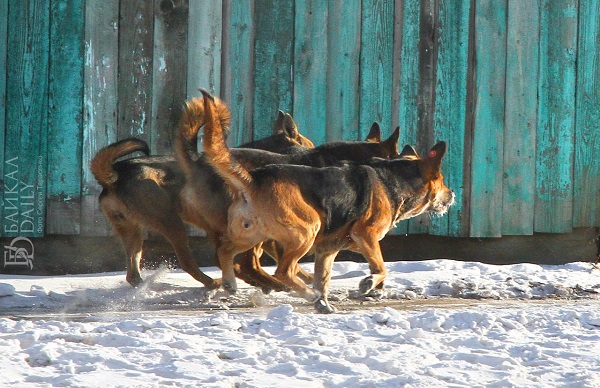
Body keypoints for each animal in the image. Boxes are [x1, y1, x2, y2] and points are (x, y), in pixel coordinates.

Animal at [90, 100, 314, 288]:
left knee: (133, 274)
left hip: (131, 230)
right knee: (188, 262)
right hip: (171, 223)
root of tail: (115, 175)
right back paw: (214, 282)